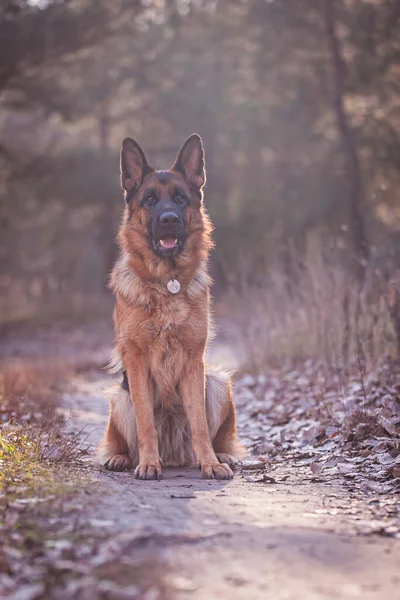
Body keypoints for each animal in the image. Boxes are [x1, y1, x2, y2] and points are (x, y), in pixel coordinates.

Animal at [97, 134, 242, 480]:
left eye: (180, 198)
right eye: (149, 200)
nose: (169, 220)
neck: (167, 282)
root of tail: (176, 455)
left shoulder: (193, 362)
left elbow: (200, 424)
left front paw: (211, 463)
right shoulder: (136, 364)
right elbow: (146, 423)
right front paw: (149, 463)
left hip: (218, 384)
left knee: (216, 434)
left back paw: (221, 455)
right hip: (119, 398)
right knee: (123, 440)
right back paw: (122, 458)